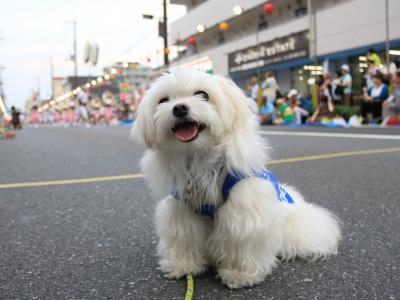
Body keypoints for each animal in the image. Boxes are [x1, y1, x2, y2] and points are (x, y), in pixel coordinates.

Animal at [134, 69, 340, 288]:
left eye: (203, 94)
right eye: (164, 100)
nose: (179, 108)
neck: (200, 158)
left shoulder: (243, 212)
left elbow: (240, 241)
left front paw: (239, 275)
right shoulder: (182, 209)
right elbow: (184, 236)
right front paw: (183, 265)